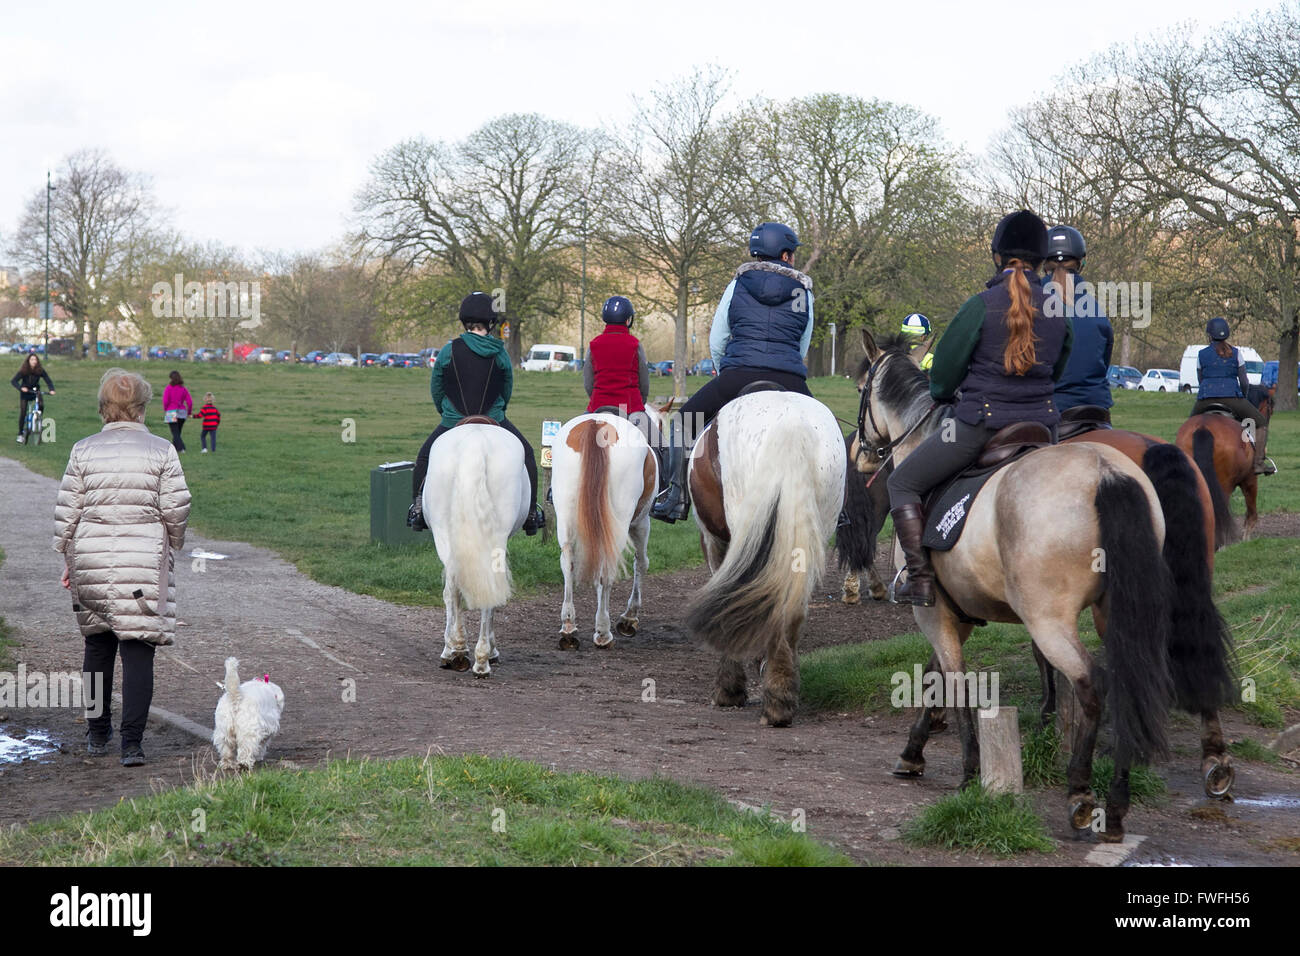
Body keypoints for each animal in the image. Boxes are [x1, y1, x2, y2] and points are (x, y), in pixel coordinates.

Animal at [423, 421, 530, 681]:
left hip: (444, 535)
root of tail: (475, 442)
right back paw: (480, 658)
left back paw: (458, 651)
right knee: (480, 594)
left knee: (452, 590)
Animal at [553, 411, 665, 650]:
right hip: (621, 522)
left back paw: (569, 627)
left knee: (568, 562)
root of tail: (597, 424)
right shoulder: (641, 524)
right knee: (607, 568)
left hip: (565, 517)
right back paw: (603, 631)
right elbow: (641, 563)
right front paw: (629, 617)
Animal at [863, 332, 1180, 842]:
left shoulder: (931, 611)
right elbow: (934, 676)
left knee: (1091, 683)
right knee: (1126, 682)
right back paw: (1116, 804)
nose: (860, 452)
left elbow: (954, 681)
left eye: (861, 386)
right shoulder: (954, 612)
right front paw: (914, 752)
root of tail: (1102, 469)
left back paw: (1080, 792)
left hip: (1048, 620)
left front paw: (969, 772)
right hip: (1115, 613)